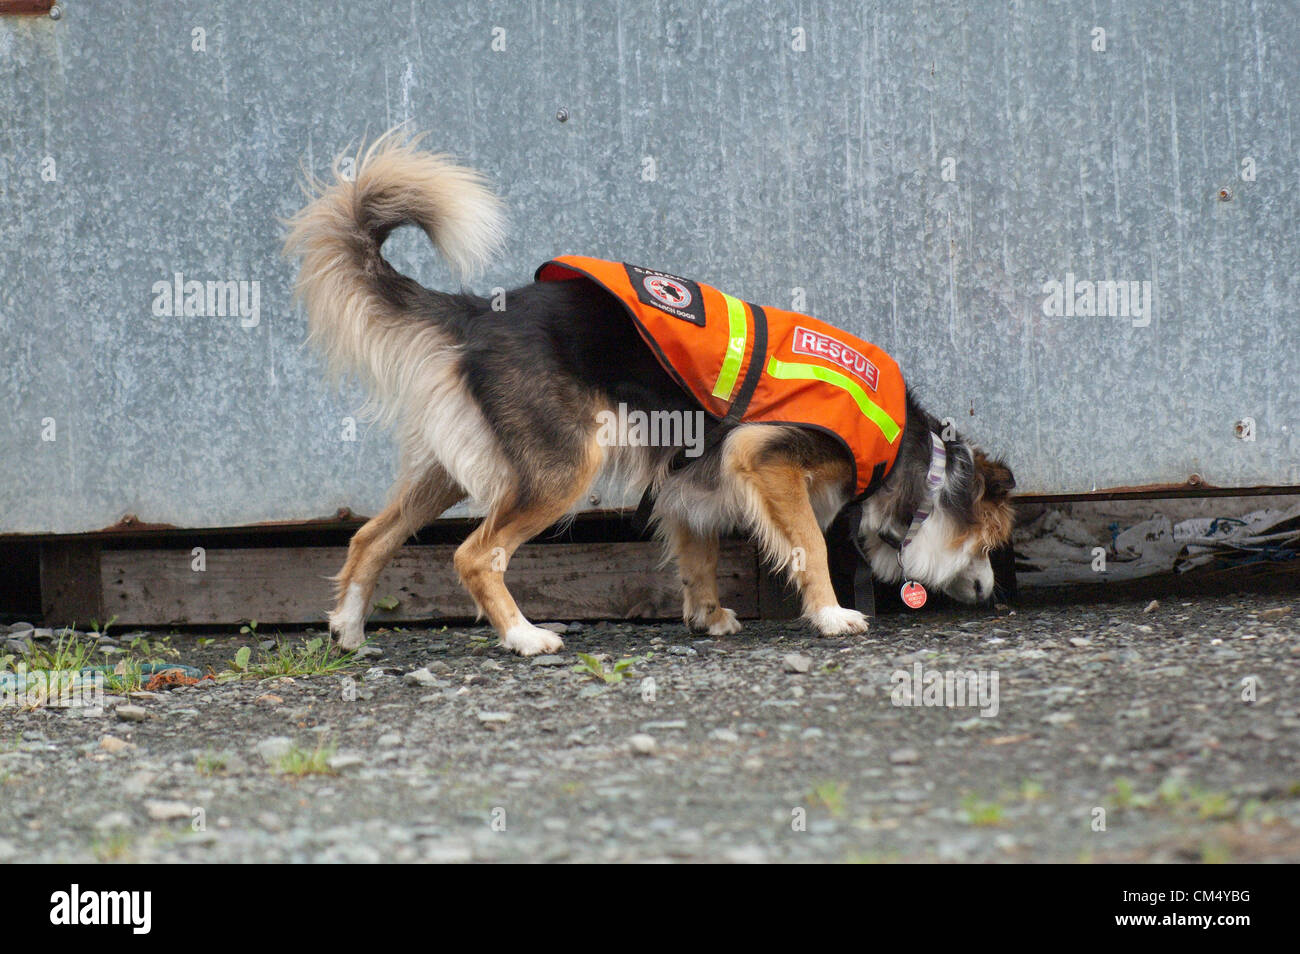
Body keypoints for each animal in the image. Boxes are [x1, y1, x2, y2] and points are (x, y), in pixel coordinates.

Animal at [284, 130, 1013, 657]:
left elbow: (699, 555)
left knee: (369, 538)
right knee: (473, 554)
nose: (990, 595)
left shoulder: (691, 482)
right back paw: (524, 637)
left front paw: (707, 616)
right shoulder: (765, 457)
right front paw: (832, 614)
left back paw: (349, 630)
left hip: (452, 467)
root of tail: (480, 314)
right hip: (561, 469)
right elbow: (807, 541)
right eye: (989, 546)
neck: (911, 457)